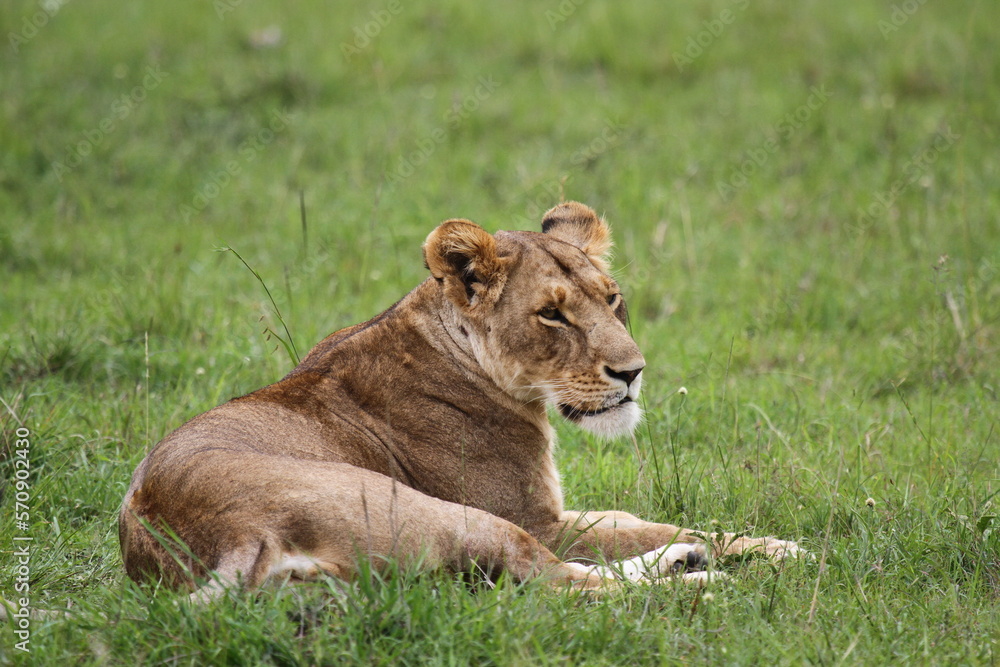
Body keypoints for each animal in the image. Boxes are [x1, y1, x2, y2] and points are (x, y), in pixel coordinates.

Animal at [118, 202, 800, 602]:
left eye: (612, 298)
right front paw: (778, 548)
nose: (632, 373)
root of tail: (222, 536)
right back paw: (700, 584)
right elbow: (643, 528)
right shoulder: (534, 518)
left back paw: (687, 562)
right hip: (446, 513)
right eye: (552, 314)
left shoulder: (554, 512)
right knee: (562, 585)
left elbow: (625, 519)